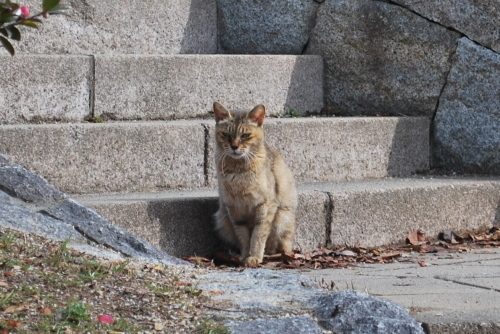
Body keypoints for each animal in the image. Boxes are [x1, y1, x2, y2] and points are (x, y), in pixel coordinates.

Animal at [212, 103, 296, 264]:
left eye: (245, 135)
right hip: (222, 219)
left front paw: (255, 257)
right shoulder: (235, 210)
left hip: (283, 218)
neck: (238, 170)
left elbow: (258, 235)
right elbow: (243, 237)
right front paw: (245, 256)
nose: (234, 146)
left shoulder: (265, 206)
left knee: (281, 245)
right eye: (226, 134)